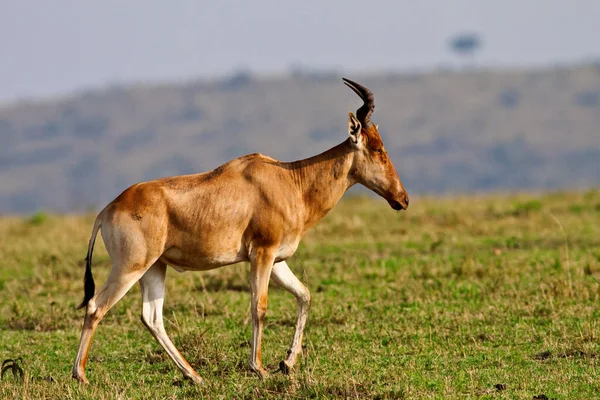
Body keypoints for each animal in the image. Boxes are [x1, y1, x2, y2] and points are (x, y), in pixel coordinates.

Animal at [70, 79, 408, 384]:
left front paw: (287, 362)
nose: (402, 199)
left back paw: (194, 376)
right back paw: (81, 375)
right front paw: (259, 368)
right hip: (130, 266)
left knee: (152, 318)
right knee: (96, 307)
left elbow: (304, 295)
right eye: (377, 148)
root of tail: (108, 209)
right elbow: (259, 306)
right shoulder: (262, 254)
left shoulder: (277, 260)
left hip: (154, 268)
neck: (289, 180)